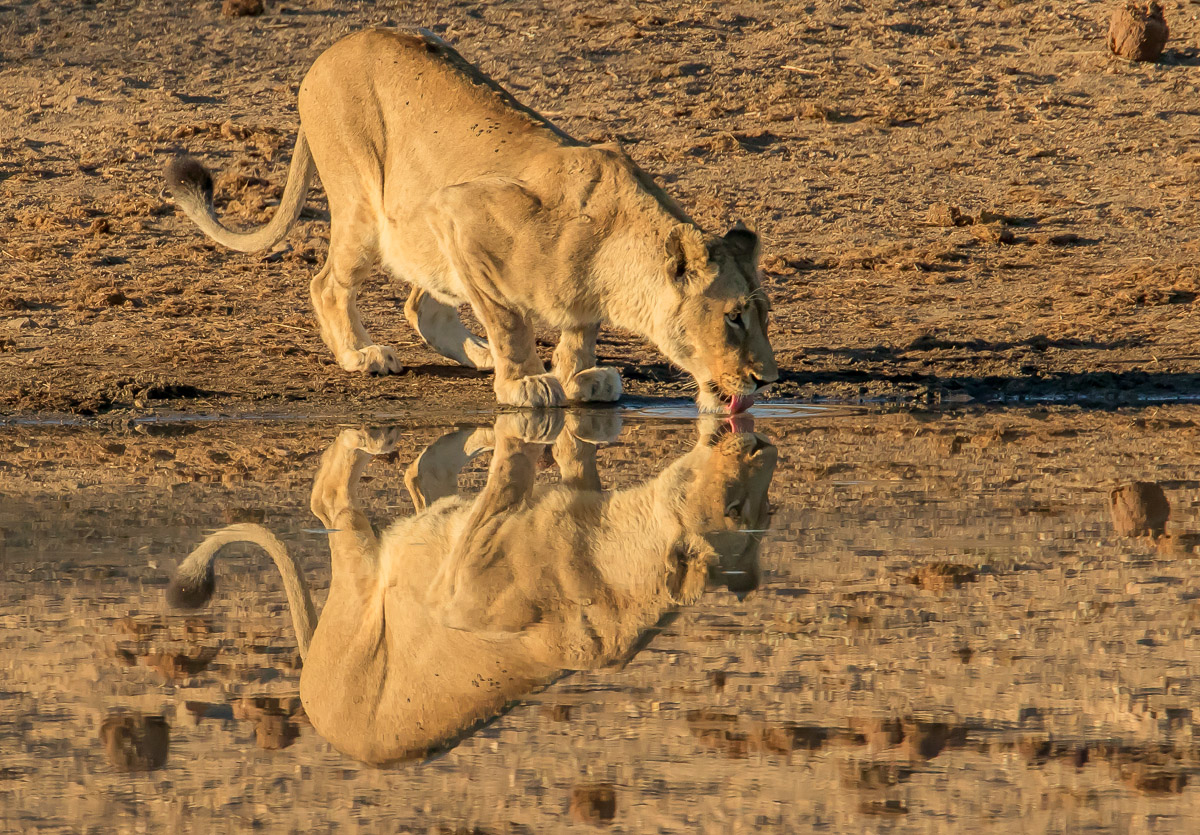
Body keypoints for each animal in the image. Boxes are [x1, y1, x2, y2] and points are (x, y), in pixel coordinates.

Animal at [166, 28, 777, 412]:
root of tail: (329, 53)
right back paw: (362, 355)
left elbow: (578, 330)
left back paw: (477, 356)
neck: (617, 264)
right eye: (733, 317)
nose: (766, 380)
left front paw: (578, 376)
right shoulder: (458, 209)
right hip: (366, 212)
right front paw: (527, 382)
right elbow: (510, 321)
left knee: (423, 304)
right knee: (327, 284)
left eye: (763, 316)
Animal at [168, 413, 777, 764]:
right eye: (751, 509)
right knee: (422, 480)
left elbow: (506, 484)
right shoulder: (575, 495)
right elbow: (567, 459)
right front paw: (539, 427)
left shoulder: (458, 590)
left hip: (361, 583)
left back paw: (371, 439)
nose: (763, 446)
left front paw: (513, 436)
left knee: (331, 497)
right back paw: (460, 441)